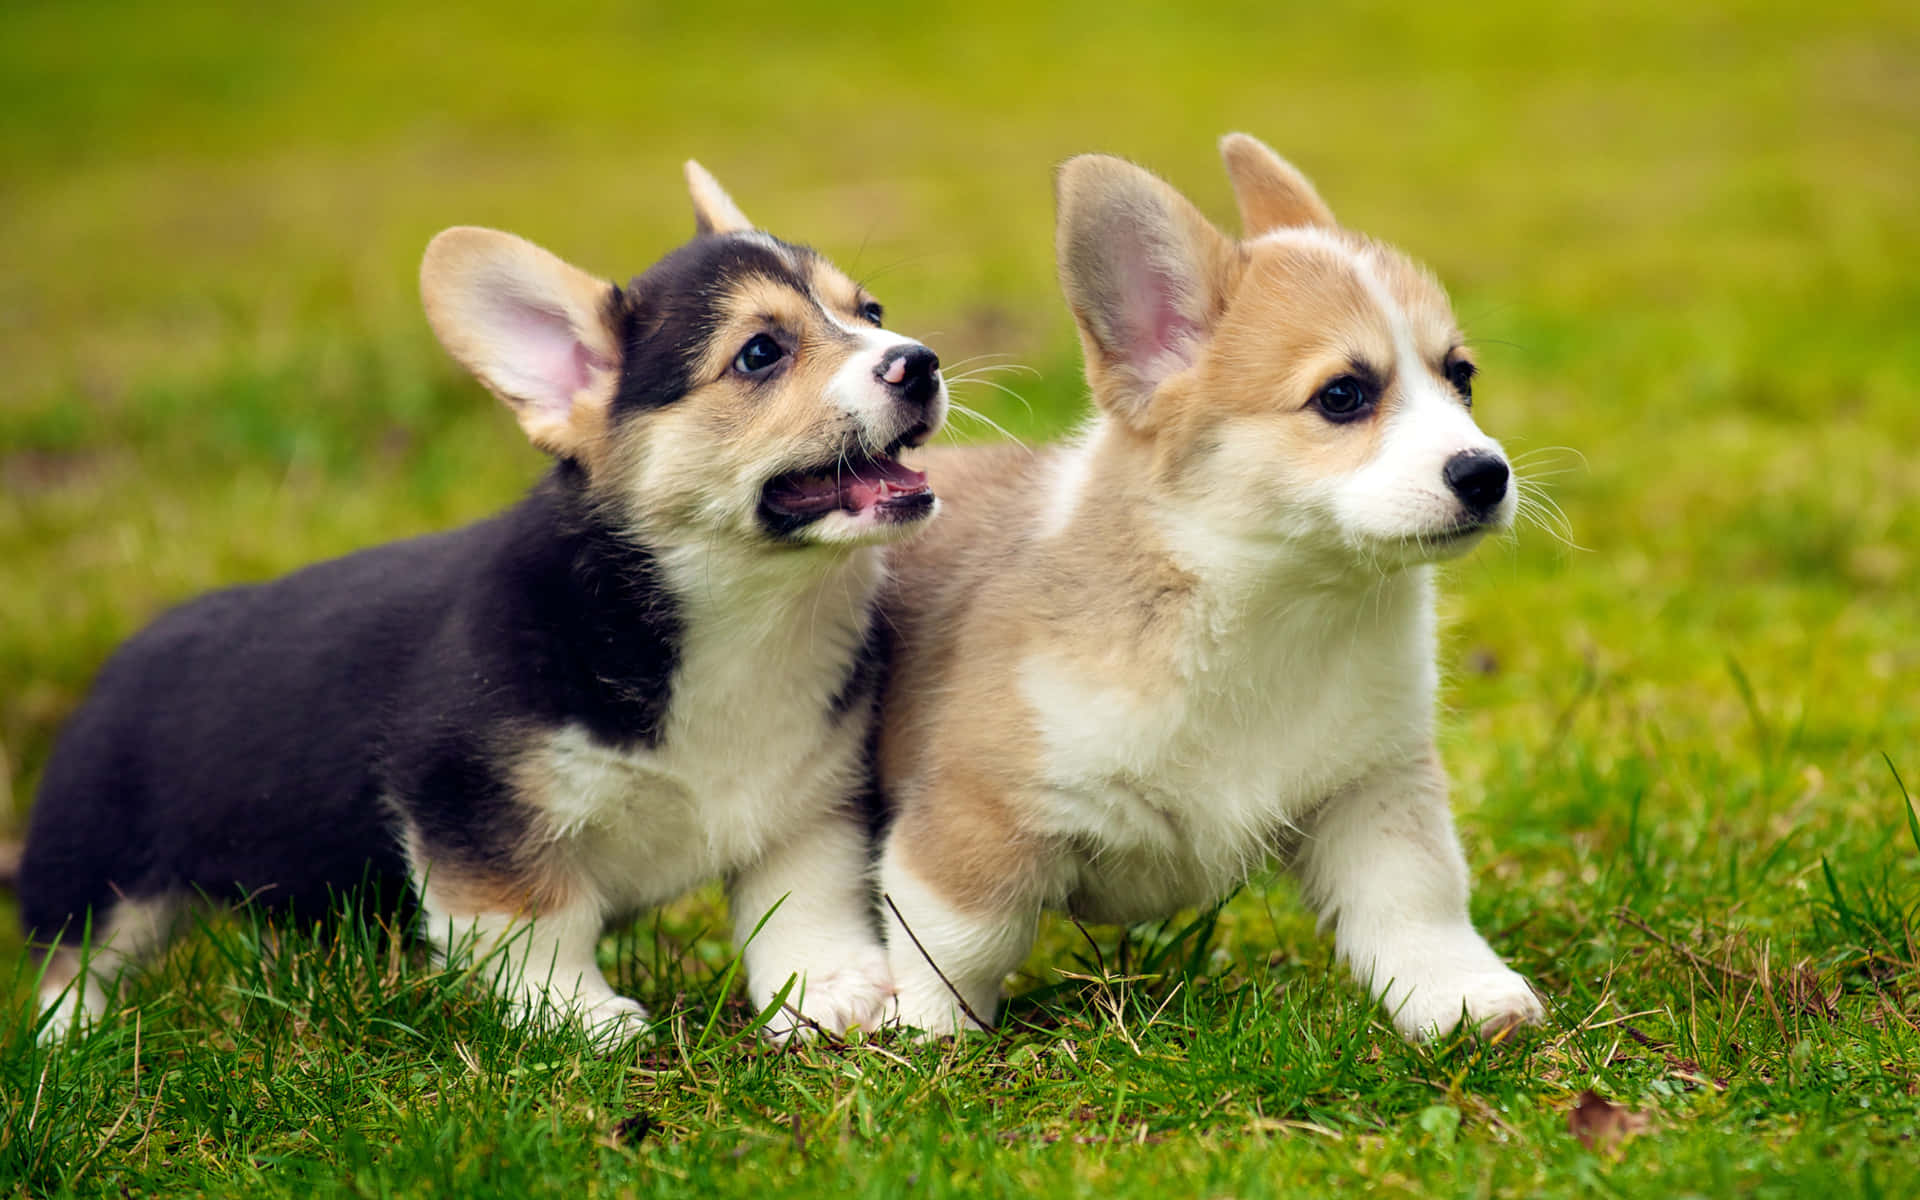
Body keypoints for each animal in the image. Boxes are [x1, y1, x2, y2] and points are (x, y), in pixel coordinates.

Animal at [15, 164, 944, 1044]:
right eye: (759, 353)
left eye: (869, 310)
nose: (921, 362)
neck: (739, 607)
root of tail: (132, 649)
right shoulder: (472, 811)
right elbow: (537, 922)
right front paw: (581, 1015)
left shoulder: (807, 805)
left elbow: (803, 903)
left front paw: (831, 990)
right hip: (96, 866)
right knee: (72, 962)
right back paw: (71, 1044)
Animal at [871, 133, 1543, 1036]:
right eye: (1343, 396)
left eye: (1460, 377)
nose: (1486, 474)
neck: (1274, 607)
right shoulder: (979, 811)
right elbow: (955, 942)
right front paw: (921, 1036)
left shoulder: (1375, 787)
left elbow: (1418, 899)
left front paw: (1464, 998)